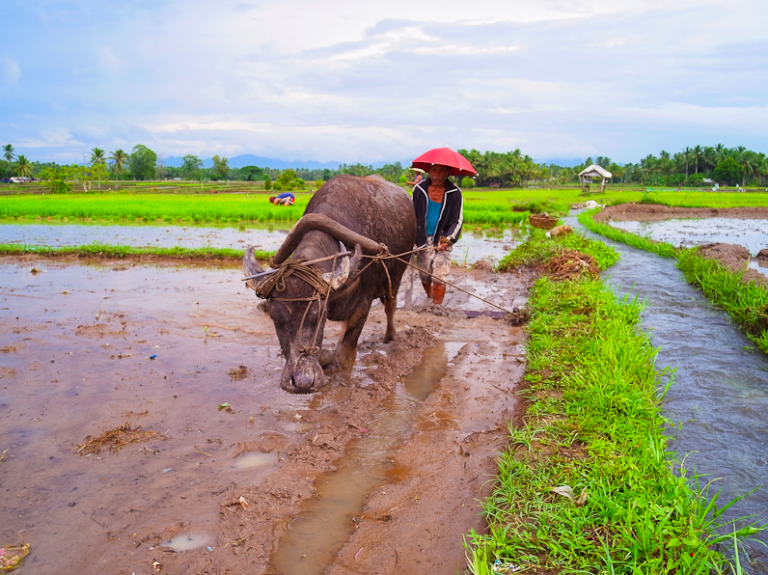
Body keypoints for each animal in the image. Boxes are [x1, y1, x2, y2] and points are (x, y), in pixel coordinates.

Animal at [243, 173, 416, 394]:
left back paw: (389, 337)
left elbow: (345, 354)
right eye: (275, 317)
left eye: (318, 316)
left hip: (397, 275)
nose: (302, 382)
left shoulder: (363, 305)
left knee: (391, 305)